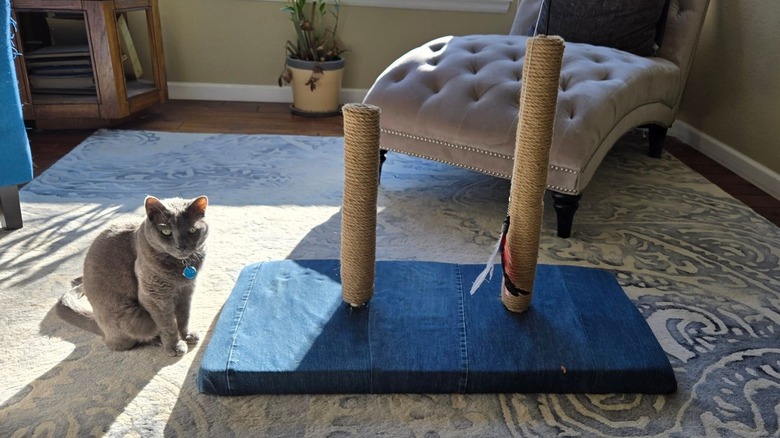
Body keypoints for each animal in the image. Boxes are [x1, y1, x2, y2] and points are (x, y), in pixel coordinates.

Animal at [56, 195, 209, 356]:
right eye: (166, 231)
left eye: (192, 230)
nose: (181, 246)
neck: (182, 267)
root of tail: (100, 326)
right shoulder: (155, 296)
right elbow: (167, 324)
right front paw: (175, 346)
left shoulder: (187, 290)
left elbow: (184, 316)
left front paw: (187, 335)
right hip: (135, 317)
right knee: (129, 341)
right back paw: (158, 341)